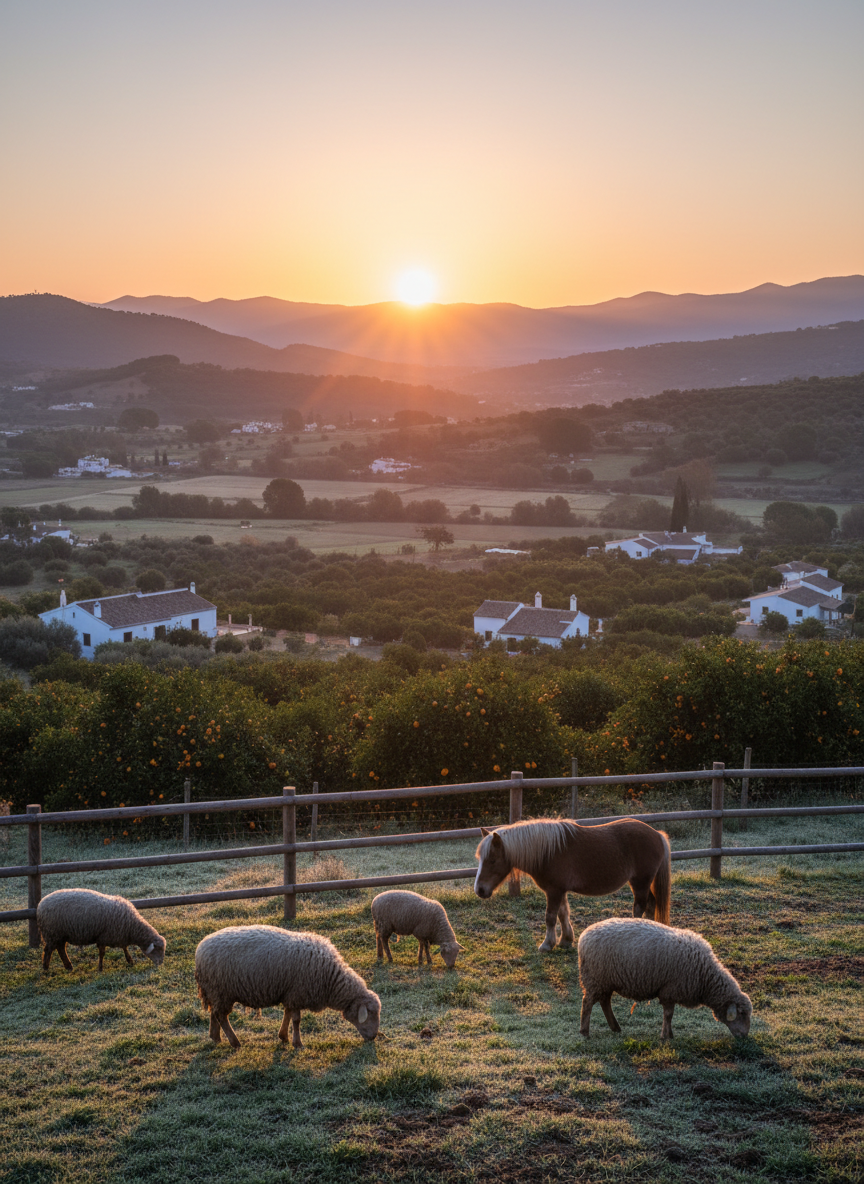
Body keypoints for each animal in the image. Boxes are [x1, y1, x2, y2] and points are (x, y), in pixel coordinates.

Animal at [36, 888, 166, 973]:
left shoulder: (118, 935)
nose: (160, 964)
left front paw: (130, 960)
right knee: (48, 950)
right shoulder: (104, 937)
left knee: (60, 949)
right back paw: (46, 968)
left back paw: (68, 966)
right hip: (52, 933)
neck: (132, 926)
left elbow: (124, 948)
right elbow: (102, 953)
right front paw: (100, 968)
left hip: (60, 935)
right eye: (158, 950)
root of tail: (40, 905)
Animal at [194, 924, 381, 1049]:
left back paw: (215, 1037)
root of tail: (200, 950)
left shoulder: (290, 994)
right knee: (221, 1016)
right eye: (370, 1013)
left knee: (214, 1012)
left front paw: (283, 1037)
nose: (373, 1037)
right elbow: (296, 1020)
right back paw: (235, 1042)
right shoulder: (298, 993)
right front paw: (297, 1043)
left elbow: (288, 1014)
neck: (330, 979)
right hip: (222, 991)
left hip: (214, 991)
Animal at [474, 817, 671, 951]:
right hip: (643, 883)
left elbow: (550, 917)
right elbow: (563, 913)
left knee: (640, 907)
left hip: (640, 882)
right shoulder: (559, 890)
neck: (548, 852)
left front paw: (547, 944)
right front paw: (566, 940)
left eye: (492, 860)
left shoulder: (554, 891)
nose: (480, 890)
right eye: (480, 859)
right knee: (651, 904)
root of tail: (657, 834)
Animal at [577, 917, 752, 1041]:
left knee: (604, 1001)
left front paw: (669, 1034)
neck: (705, 976)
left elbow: (669, 1015)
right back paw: (585, 1032)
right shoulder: (670, 991)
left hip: (604, 980)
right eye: (742, 1013)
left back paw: (615, 1028)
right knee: (587, 1003)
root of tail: (584, 936)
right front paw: (666, 1036)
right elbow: (668, 1015)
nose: (745, 1036)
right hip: (594, 978)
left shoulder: (671, 992)